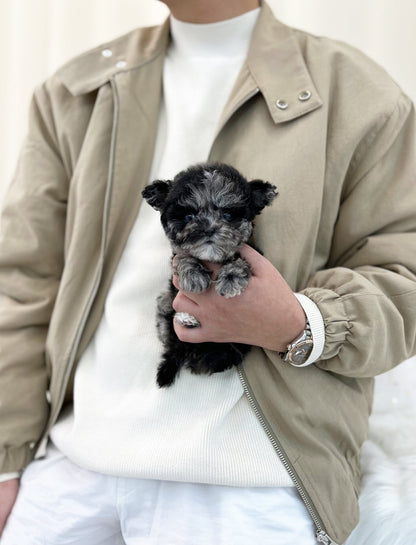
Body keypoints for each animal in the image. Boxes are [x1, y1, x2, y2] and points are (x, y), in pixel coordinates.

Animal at [141, 162, 278, 386]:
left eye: (228, 216)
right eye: (189, 217)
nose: (208, 229)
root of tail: (181, 349)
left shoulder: (255, 252)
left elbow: (240, 259)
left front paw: (231, 277)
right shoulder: (176, 262)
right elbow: (183, 256)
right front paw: (192, 274)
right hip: (165, 305)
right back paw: (185, 318)